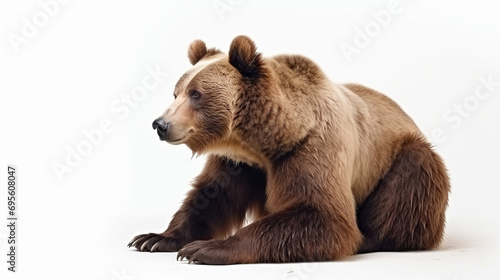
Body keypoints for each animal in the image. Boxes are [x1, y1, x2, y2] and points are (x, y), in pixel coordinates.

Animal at [128, 35, 450, 264]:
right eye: (176, 93)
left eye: (196, 94)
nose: (160, 124)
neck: (266, 141)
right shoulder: (238, 163)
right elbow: (210, 197)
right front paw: (154, 238)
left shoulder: (310, 149)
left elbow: (321, 215)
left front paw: (205, 248)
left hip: (396, 157)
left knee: (412, 178)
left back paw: (369, 239)